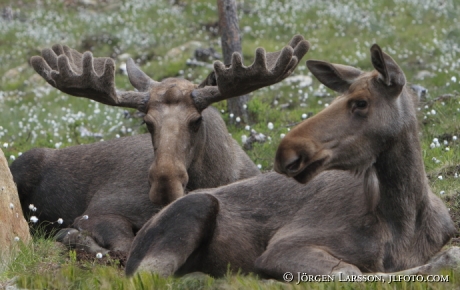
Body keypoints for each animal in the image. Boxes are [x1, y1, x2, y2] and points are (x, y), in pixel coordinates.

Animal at [10, 34, 310, 254]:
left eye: (196, 120)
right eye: (147, 122)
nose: (165, 184)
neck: (218, 175)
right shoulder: (96, 212)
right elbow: (125, 247)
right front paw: (74, 236)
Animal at [123, 43, 456, 278]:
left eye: (361, 102)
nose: (286, 151)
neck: (404, 220)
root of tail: (133, 247)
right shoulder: (283, 248)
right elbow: (354, 272)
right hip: (194, 208)